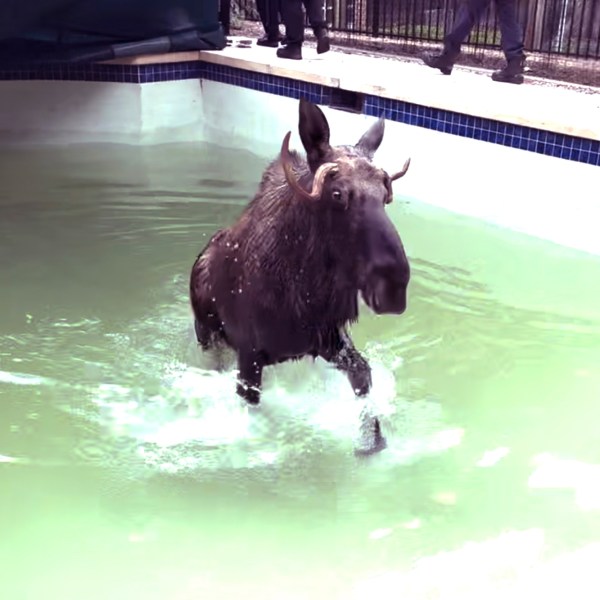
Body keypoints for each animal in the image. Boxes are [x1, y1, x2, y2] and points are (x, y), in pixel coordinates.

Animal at [190, 99, 410, 454]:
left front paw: (372, 440)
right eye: (337, 194)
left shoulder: (328, 340)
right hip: (207, 334)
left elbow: (363, 377)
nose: (393, 287)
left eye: (385, 194)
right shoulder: (249, 356)